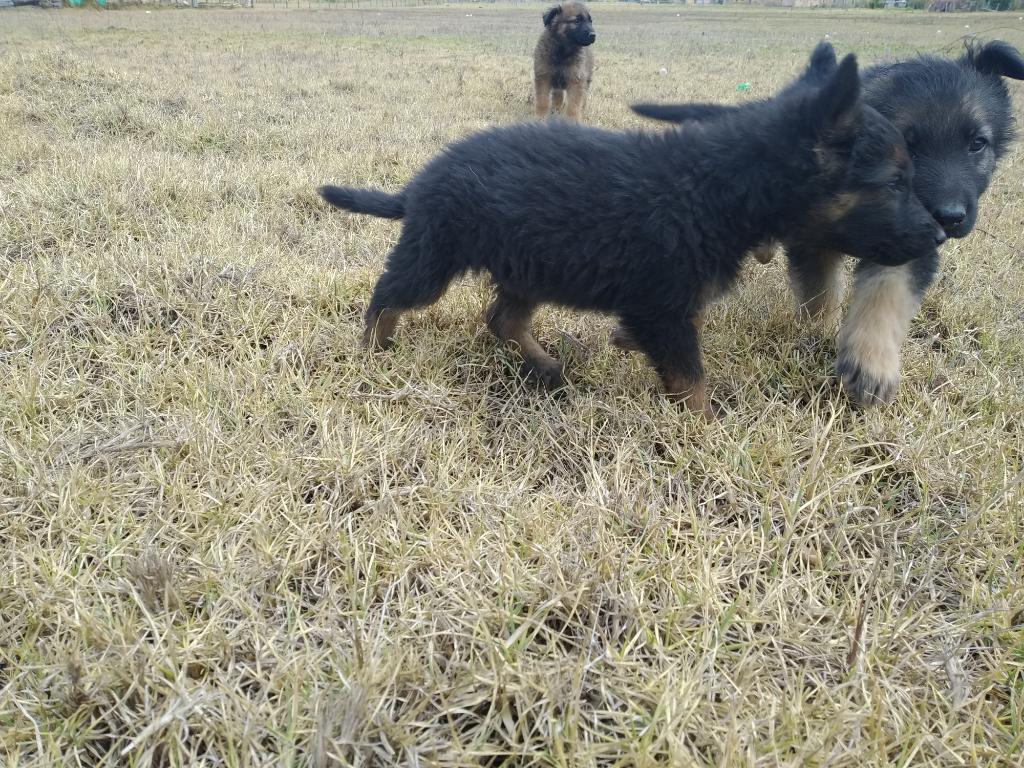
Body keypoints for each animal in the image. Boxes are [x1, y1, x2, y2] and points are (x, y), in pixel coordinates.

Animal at [317, 45, 942, 417]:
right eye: (894, 183)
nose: (939, 235)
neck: (718, 186)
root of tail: (420, 184)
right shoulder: (662, 307)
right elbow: (691, 381)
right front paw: (702, 433)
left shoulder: (667, 308)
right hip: (436, 257)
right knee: (388, 296)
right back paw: (374, 349)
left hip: (531, 265)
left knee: (502, 320)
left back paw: (546, 366)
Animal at [630, 40, 1024, 409]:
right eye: (908, 146)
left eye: (977, 144)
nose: (949, 219)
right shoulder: (815, 241)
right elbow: (819, 293)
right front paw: (817, 332)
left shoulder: (909, 239)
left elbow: (887, 290)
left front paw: (871, 364)